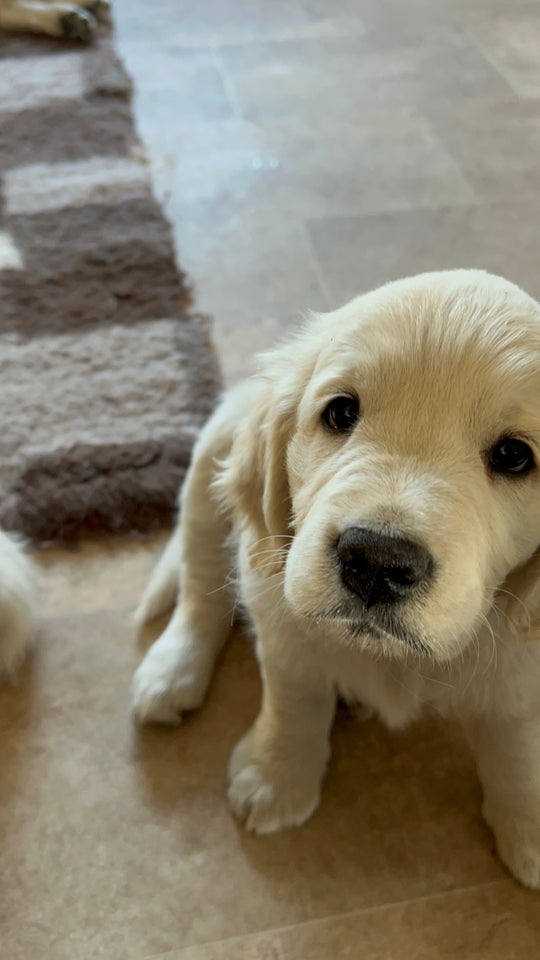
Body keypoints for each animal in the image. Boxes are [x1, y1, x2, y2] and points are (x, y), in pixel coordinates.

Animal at [133, 268, 540, 884]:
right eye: (341, 413)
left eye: (515, 456)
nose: (374, 561)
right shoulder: (281, 612)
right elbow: (294, 698)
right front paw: (276, 778)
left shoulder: (521, 672)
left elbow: (517, 747)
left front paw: (528, 828)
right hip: (213, 460)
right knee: (200, 580)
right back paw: (170, 671)